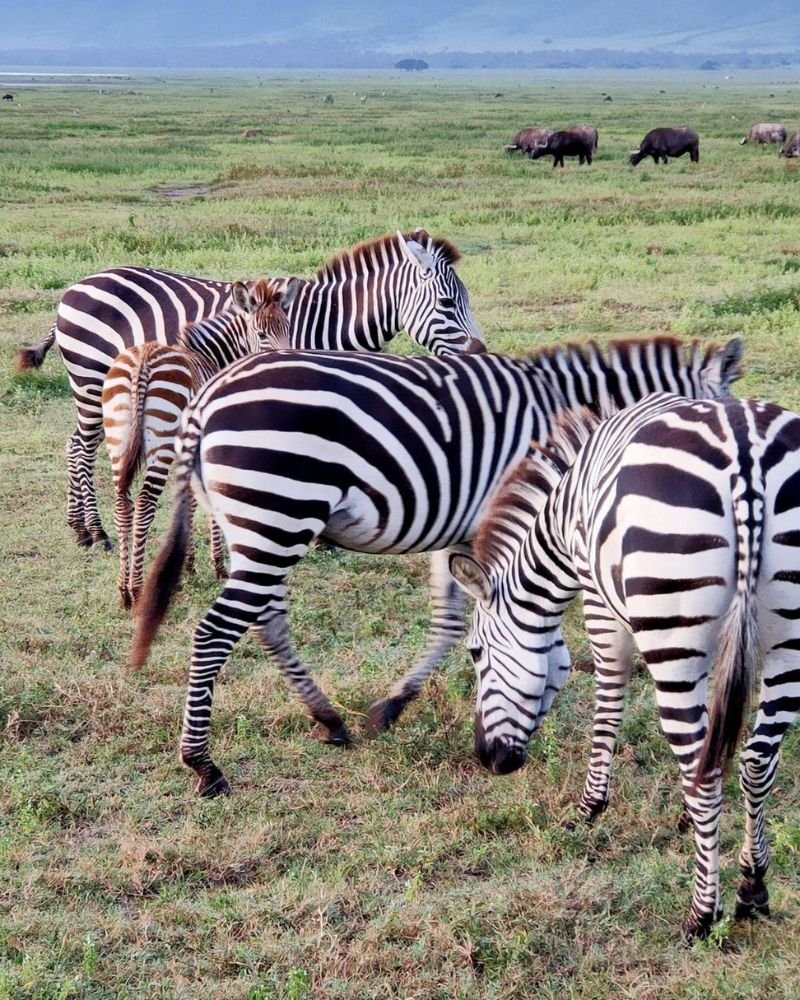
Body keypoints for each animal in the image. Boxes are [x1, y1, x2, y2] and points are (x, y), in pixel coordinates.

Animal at [15, 229, 484, 550]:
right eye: (448, 304)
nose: (480, 351)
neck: (323, 326)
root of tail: (77, 286)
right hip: (91, 379)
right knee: (81, 448)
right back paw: (93, 532)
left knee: (75, 445)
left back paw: (79, 527)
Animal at [102, 278, 296, 609]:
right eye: (262, 334)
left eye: (287, 328)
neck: (212, 358)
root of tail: (143, 360)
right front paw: (217, 565)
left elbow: (189, 501)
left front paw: (188, 565)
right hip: (161, 445)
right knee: (144, 505)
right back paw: (137, 590)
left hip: (118, 442)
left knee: (122, 504)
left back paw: (123, 591)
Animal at [128, 335, 743, 798]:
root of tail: (206, 397)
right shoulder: (515, 520)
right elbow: (528, 638)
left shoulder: (467, 529)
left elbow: (458, 625)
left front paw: (406, 708)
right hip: (278, 510)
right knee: (217, 630)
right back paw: (202, 764)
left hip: (257, 524)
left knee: (267, 620)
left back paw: (328, 719)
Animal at [449, 391, 800, 942]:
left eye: (475, 653)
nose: (488, 759)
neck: (565, 511)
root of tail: (745, 453)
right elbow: (714, 740)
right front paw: (689, 821)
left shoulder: (598, 599)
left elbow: (608, 700)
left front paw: (590, 806)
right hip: (786, 640)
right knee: (757, 761)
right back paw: (752, 887)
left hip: (670, 620)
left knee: (706, 769)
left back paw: (702, 915)